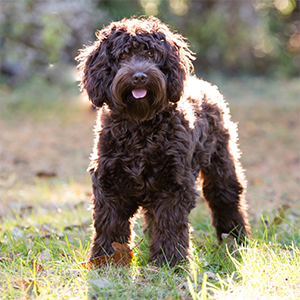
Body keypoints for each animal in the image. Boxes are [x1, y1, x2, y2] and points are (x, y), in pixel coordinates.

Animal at [76, 17, 250, 268]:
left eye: (151, 53)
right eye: (122, 56)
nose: (139, 76)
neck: (139, 127)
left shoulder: (173, 184)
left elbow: (170, 223)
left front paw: (170, 261)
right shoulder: (109, 183)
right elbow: (108, 223)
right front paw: (105, 259)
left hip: (221, 162)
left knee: (225, 196)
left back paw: (235, 239)